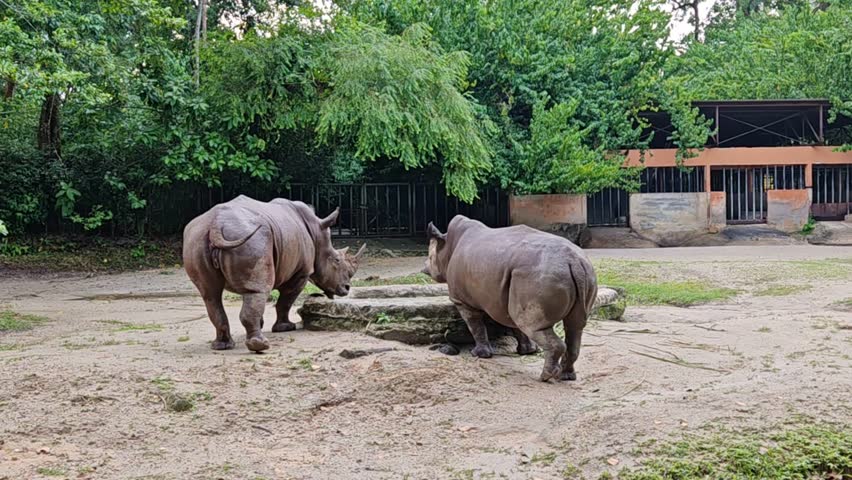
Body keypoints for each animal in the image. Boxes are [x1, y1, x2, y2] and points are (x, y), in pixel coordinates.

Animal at [183, 195, 365, 352]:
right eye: (337, 260)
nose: (347, 288)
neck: (316, 231)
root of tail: (216, 225)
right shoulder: (301, 273)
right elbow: (285, 301)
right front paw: (286, 328)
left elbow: (257, 298)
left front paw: (262, 324)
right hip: (252, 239)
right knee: (252, 291)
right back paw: (260, 346)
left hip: (197, 239)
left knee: (211, 295)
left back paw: (223, 346)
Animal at [422, 215, 597, 382]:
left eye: (430, 258)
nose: (424, 269)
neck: (447, 247)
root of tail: (573, 261)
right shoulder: (507, 296)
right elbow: (515, 326)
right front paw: (527, 351)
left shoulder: (462, 301)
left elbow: (476, 326)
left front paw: (479, 354)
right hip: (583, 273)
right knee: (574, 327)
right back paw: (566, 377)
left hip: (538, 276)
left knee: (532, 325)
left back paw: (545, 377)